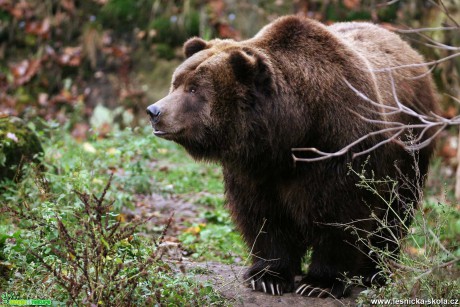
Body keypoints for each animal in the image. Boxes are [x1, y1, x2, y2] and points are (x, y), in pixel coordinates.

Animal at [146, 15, 438, 300]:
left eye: (194, 89)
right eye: (177, 82)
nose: (154, 111)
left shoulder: (341, 149)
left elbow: (341, 215)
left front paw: (320, 283)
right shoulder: (255, 169)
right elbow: (262, 216)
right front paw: (268, 277)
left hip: (409, 147)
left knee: (394, 212)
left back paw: (374, 272)